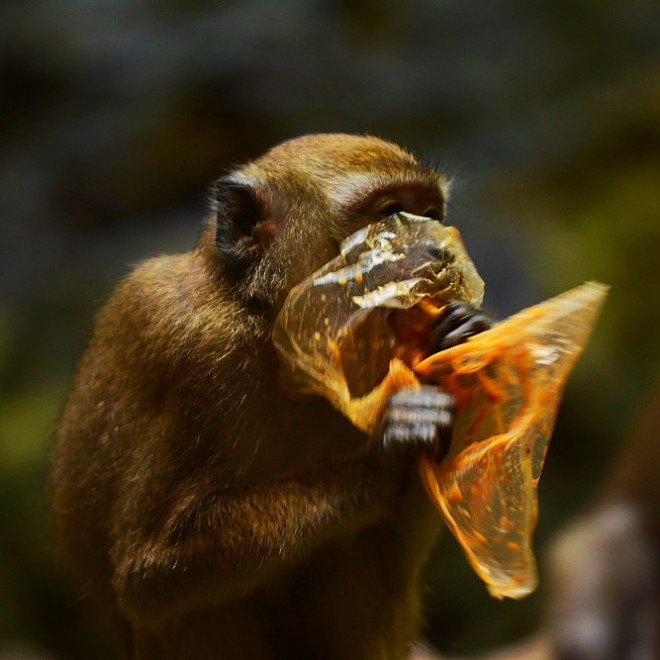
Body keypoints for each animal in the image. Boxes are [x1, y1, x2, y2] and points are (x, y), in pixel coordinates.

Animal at [52, 134, 490, 660]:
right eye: (390, 216)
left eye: (430, 214)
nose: (440, 254)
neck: (274, 336)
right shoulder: (186, 342)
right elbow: (147, 575)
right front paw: (389, 453)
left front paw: (461, 331)